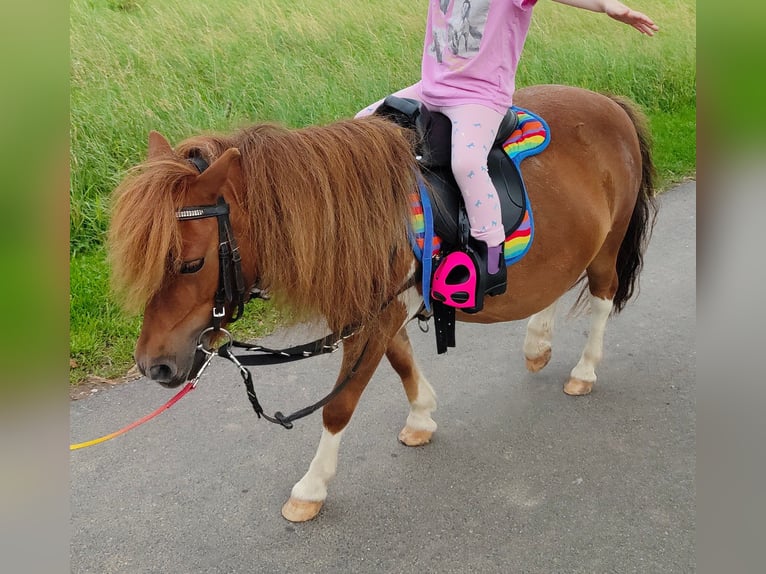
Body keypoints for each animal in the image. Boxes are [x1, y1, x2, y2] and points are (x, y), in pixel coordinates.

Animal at [108, 86, 660, 528]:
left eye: (191, 263)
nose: (154, 366)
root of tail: (609, 102)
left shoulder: (374, 318)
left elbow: (339, 406)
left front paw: (311, 488)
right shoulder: (378, 311)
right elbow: (400, 361)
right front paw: (422, 417)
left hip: (608, 246)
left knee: (602, 297)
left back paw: (584, 371)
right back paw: (538, 345)